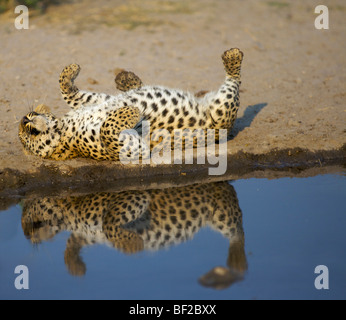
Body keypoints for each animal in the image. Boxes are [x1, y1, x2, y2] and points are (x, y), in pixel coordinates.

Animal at [18, 47, 243, 162]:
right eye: (28, 134)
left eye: (29, 118)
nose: (24, 119)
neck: (66, 126)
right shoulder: (130, 150)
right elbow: (107, 129)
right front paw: (132, 110)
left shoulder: (96, 101)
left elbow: (71, 93)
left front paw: (71, 70)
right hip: (220, 113)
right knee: (234, 81)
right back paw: (233, 57)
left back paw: (126, 79)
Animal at [21, 182, 246, 288]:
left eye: (32, 225)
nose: (25, 235)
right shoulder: (88, 233)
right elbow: (74, 240)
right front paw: (75, 266)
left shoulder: (135, 195)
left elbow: (109, 221)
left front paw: (135, 245)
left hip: (221, 214)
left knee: (237, 230)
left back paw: (238, 260)